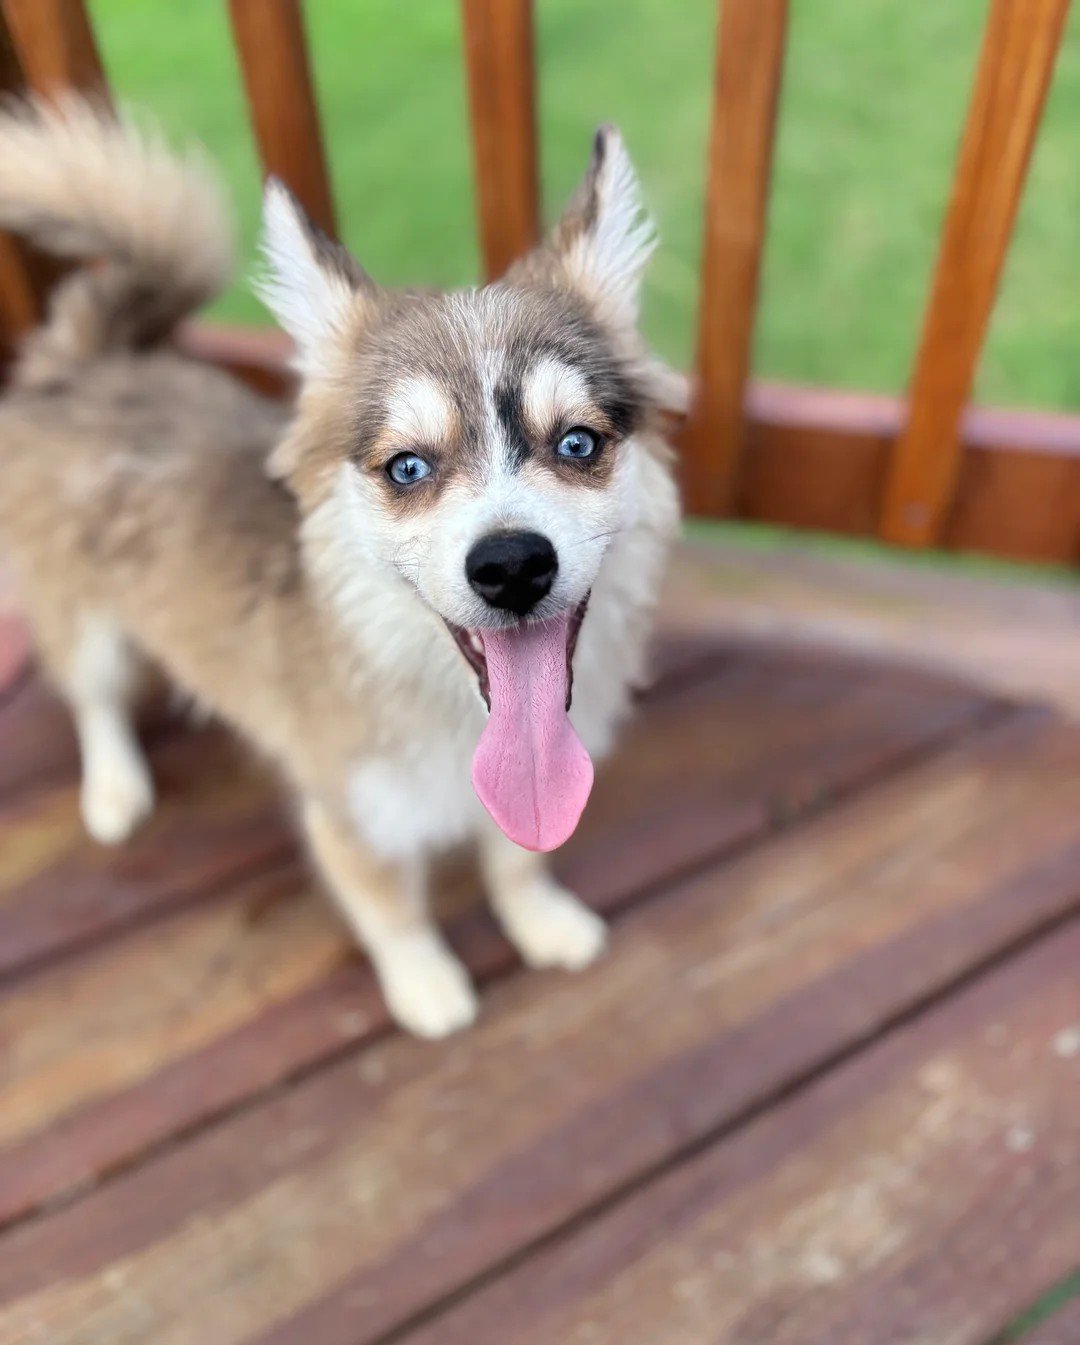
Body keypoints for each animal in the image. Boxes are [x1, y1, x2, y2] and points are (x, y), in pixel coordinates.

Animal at [0, 98, 681, 1037]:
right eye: (407, 467)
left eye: (578, 443)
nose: (511, 566)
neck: (446, 705)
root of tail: (90, 362)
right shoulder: (351, 817)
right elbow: (392, 910)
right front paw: (425, 984)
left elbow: (516, 858)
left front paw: (541, 921)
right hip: (82, 622)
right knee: (92, 699)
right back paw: (114, 787)